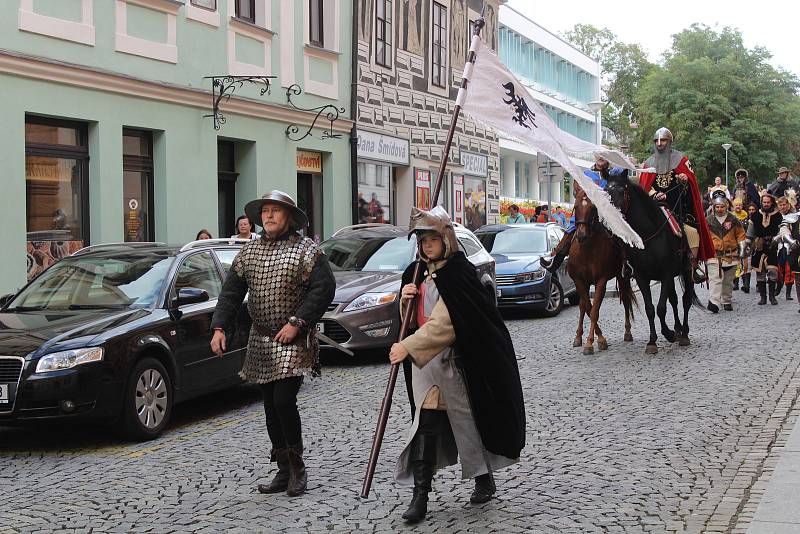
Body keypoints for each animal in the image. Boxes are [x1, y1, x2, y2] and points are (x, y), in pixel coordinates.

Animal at [568, 191, 636, 358]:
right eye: (575, 206)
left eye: (593, 207)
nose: (581, 235)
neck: (586, 249)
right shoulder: (579, 281)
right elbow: (587, 307)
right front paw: (592, 338)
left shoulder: (601, 281)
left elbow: (594, 311)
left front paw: (593, 342)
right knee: (582, 305)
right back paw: (578, 337)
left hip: (622, 276)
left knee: (626, 300)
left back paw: (627, 332)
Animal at [608, 171, 700, 356]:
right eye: (606, 191)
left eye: (622, 191)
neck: (649, 235)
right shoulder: (642, 277)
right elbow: (650, 309)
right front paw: (653, 341)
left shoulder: (666, 274)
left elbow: (661, 308)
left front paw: (668, 334)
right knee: (674, 300)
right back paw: (678, 329)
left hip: (687, 272)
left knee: (685, 300)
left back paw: (684, 334)